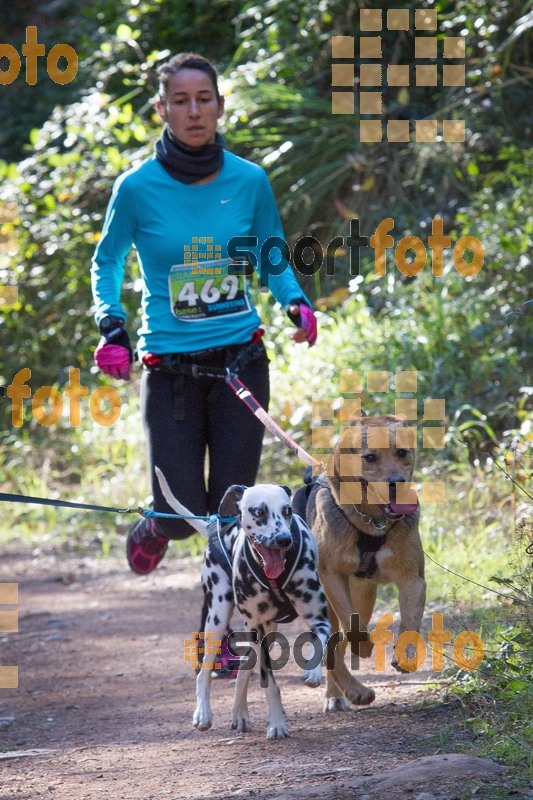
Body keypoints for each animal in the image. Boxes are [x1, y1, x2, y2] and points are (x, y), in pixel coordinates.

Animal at [154, 466, 330, 740]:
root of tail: (215, 530)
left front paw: (312, 671)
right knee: (205, 671)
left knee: (245, 667)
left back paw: (239, 713)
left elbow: (318, 642)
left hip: (262, 630)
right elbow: (269, 682)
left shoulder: (319, 618)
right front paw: (277, 722)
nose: (284, 539)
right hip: (217, 620)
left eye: (287, 510)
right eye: (259, 512)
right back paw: (203, 713)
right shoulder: (256, 630)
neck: (276, 577)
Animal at [296, 416, 424, 708]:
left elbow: (411, 621)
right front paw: (364, 647)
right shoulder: (331, 575)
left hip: (364, 598)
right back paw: (347, 689)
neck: (373, 524)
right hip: (325, 602)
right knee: (333, 642)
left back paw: (346, 691)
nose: (396, 482)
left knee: (339, 642)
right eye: (369, 457)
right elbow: (353, 628)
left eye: (402, 452)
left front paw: (405, 655)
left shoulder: (412, 579)